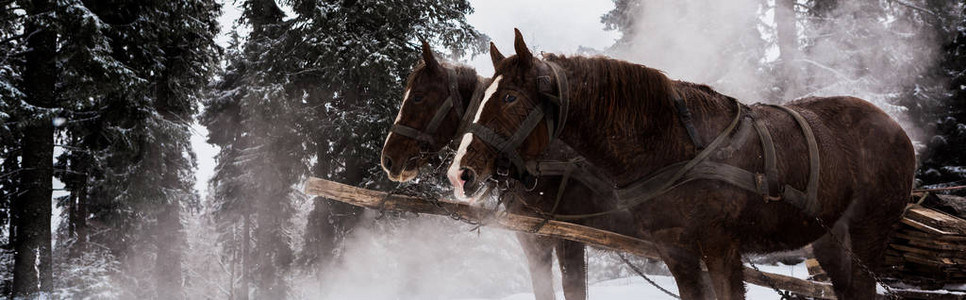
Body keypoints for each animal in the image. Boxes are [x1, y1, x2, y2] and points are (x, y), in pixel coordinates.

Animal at [450, 28, 920, 300]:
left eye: (510, 97)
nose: (461, 173)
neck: (670, 144)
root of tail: (897, 129)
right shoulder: (675, 250)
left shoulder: (721, 247)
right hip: (831, 241)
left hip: (869, 232)